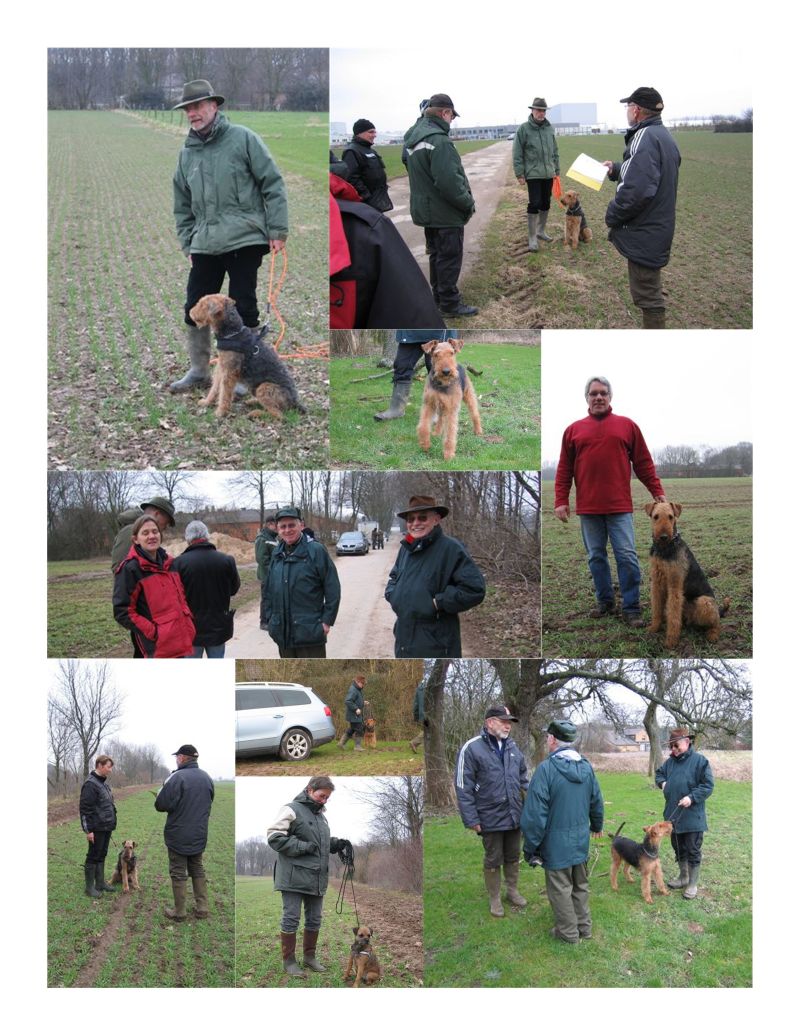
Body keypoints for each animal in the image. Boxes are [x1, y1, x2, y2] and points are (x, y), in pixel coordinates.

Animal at [188, 291, 308, 420]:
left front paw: (220, 412)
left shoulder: (229, 373)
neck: (232, 333)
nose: (190, 312)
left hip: (264, 387)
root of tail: (295, 402)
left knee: (277, 414)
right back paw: (252, 402)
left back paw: (254, 413)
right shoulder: (221, 367)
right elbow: (215, 388)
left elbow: (224, 394)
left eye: (202, 305)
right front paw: (206, 402)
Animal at [641, 500, 728, 645]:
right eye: (655, 516)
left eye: (671, 517)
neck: (664, 549)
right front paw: (653, 628)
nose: (663, 537)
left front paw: (671, 641)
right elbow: (657, 609)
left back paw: (712, 635)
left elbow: (673, 616)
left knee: (717, 623)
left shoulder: (674, 586)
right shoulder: (656, 583)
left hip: (704, 602)